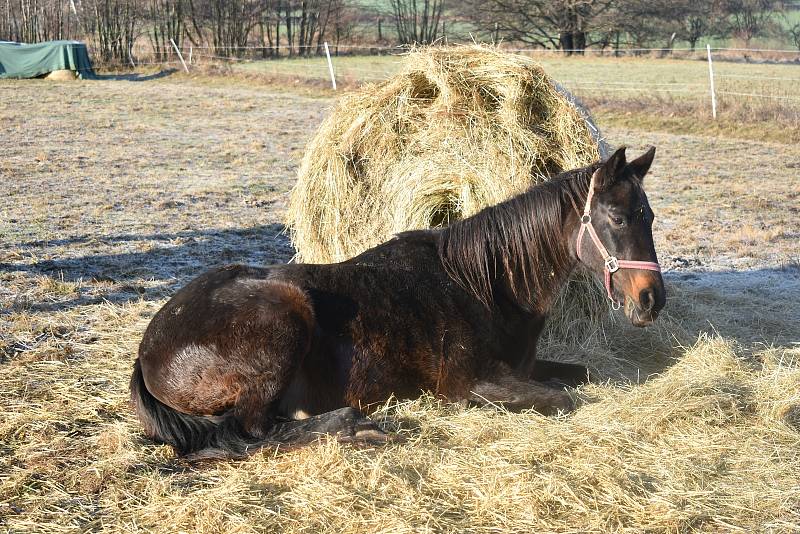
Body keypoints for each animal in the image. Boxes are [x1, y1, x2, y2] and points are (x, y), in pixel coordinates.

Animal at [131, 147, 664, 460]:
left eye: (651, 216)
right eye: (618, 216)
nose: (651, 300)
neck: (483, 285)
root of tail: (148, 348)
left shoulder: (524, 367)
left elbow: (583, 375)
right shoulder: (472, 385)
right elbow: (563, 397)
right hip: (284, 318)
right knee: (251, 432)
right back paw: (356, 426)